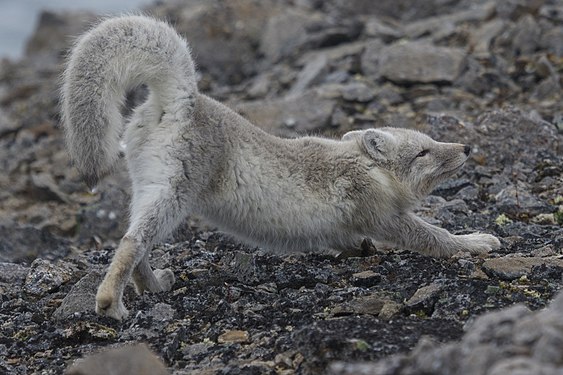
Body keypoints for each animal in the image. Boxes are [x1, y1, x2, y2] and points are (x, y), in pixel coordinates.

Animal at [62, 14, 502, 320]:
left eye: (431, 143)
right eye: (423, 152)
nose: (466, 147)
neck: (368, 168)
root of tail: (184, 97)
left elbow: (350, 240)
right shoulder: (384, 216)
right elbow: (435, 236)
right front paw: (476, 241)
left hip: (149, 188)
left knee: (134, 240)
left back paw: (153, 285)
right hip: (174, 196)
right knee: (131, 242)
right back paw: (111, 304)